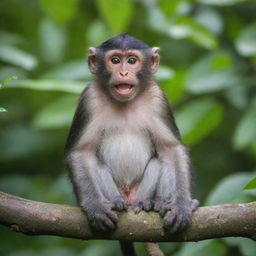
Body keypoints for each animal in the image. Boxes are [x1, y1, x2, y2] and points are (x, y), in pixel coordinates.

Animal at [63, 34, 198, 256]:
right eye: (115, 60)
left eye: (132, 60)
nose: (124, 72)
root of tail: (129, 198)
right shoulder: (89, 99)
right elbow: (81, 153)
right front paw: (96, 208)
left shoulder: (157, 98)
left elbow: (171, 149)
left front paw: (182, 206)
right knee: (97, 165)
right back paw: (115, 203)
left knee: (159, 162)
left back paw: (153, 203)